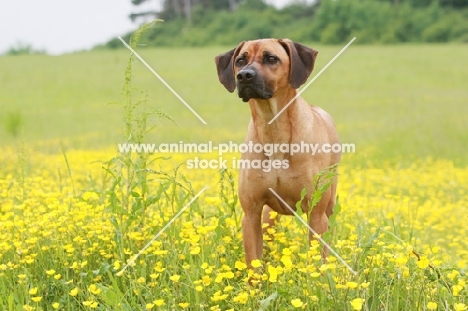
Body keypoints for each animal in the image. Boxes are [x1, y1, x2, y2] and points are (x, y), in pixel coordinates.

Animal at [216, 39, 340, 270]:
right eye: (240, 60)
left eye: (271, 58)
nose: (244, 75)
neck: (272, 126)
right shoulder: (252, 213)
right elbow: (253, 264)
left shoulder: (316, 213)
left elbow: (316, 259)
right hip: (268, 216)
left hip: (328, 205)